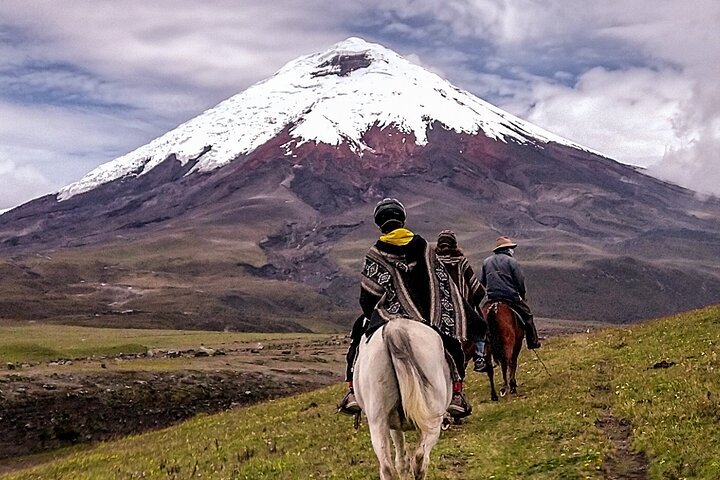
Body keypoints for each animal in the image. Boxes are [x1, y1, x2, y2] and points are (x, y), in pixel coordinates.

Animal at [352, 318, 450, 480]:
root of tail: (395, 327)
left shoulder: (393, 424)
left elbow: (401, 461)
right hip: (433, 420)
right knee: (421, 459)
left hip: (377, 421)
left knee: (387, 467)